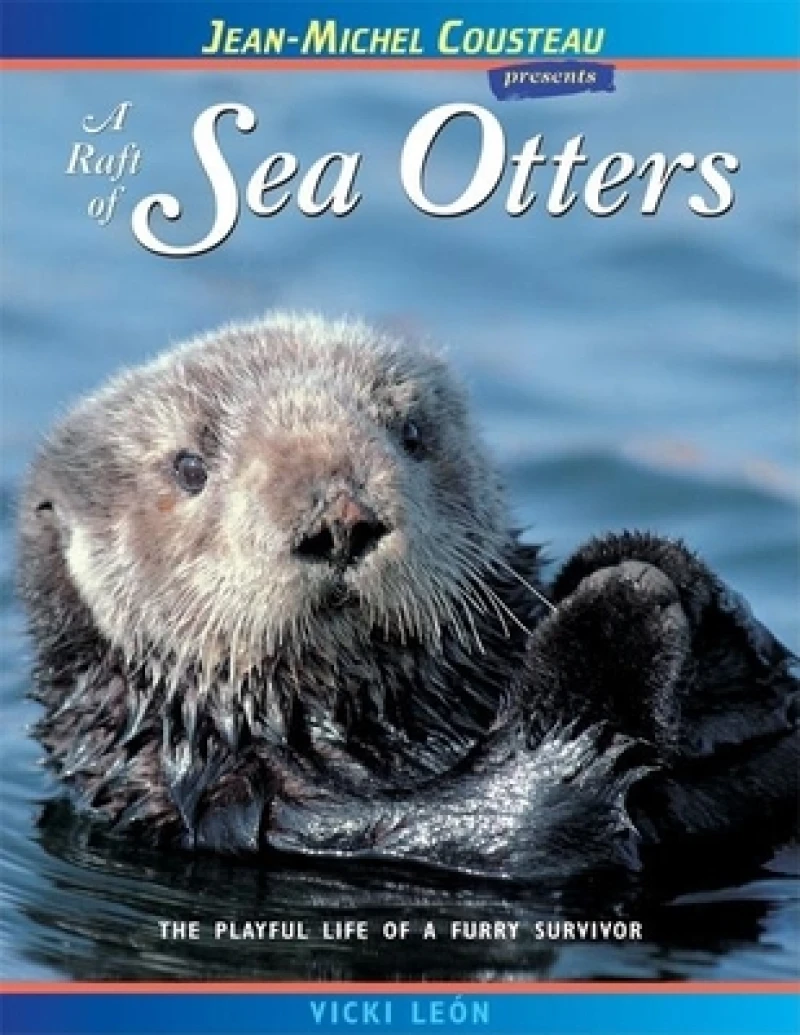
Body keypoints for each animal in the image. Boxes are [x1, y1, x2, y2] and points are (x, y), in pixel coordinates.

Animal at [18, 313, 798, 884]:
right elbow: (528, 824)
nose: (340, 521)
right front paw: (621, 607)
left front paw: (655, 571)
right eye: (189, 466)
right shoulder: (264, 813)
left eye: (412, 433)